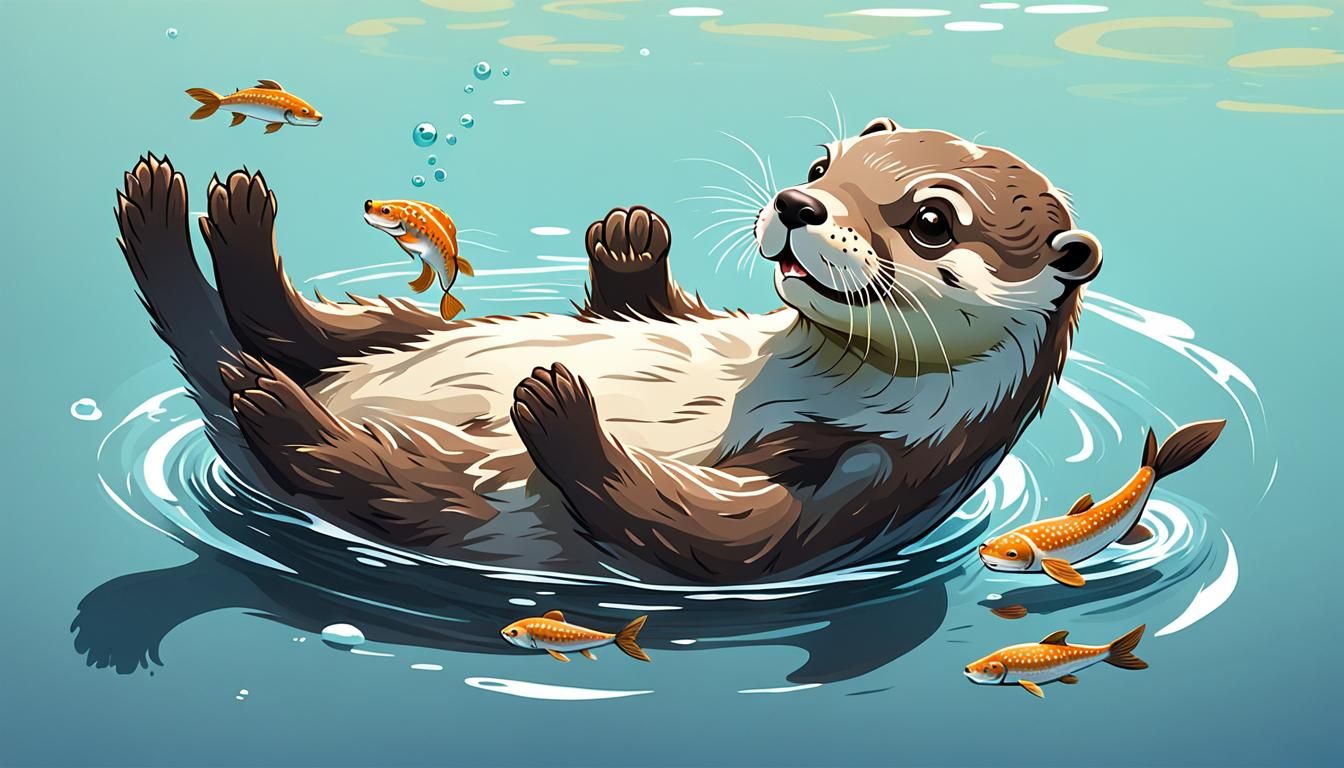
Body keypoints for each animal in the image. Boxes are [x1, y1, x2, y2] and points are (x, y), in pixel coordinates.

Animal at [113, 117, 1100, 583]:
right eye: (824, 164)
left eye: (932, 220)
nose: (797, 203)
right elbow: (641, 303)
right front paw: (629, 240)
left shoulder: (873, 479)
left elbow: (720, 534)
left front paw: (560, 409)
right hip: (425, 327)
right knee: (300, 326)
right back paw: (219, 214)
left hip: (456, 497)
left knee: (343, 462)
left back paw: (275, 401)